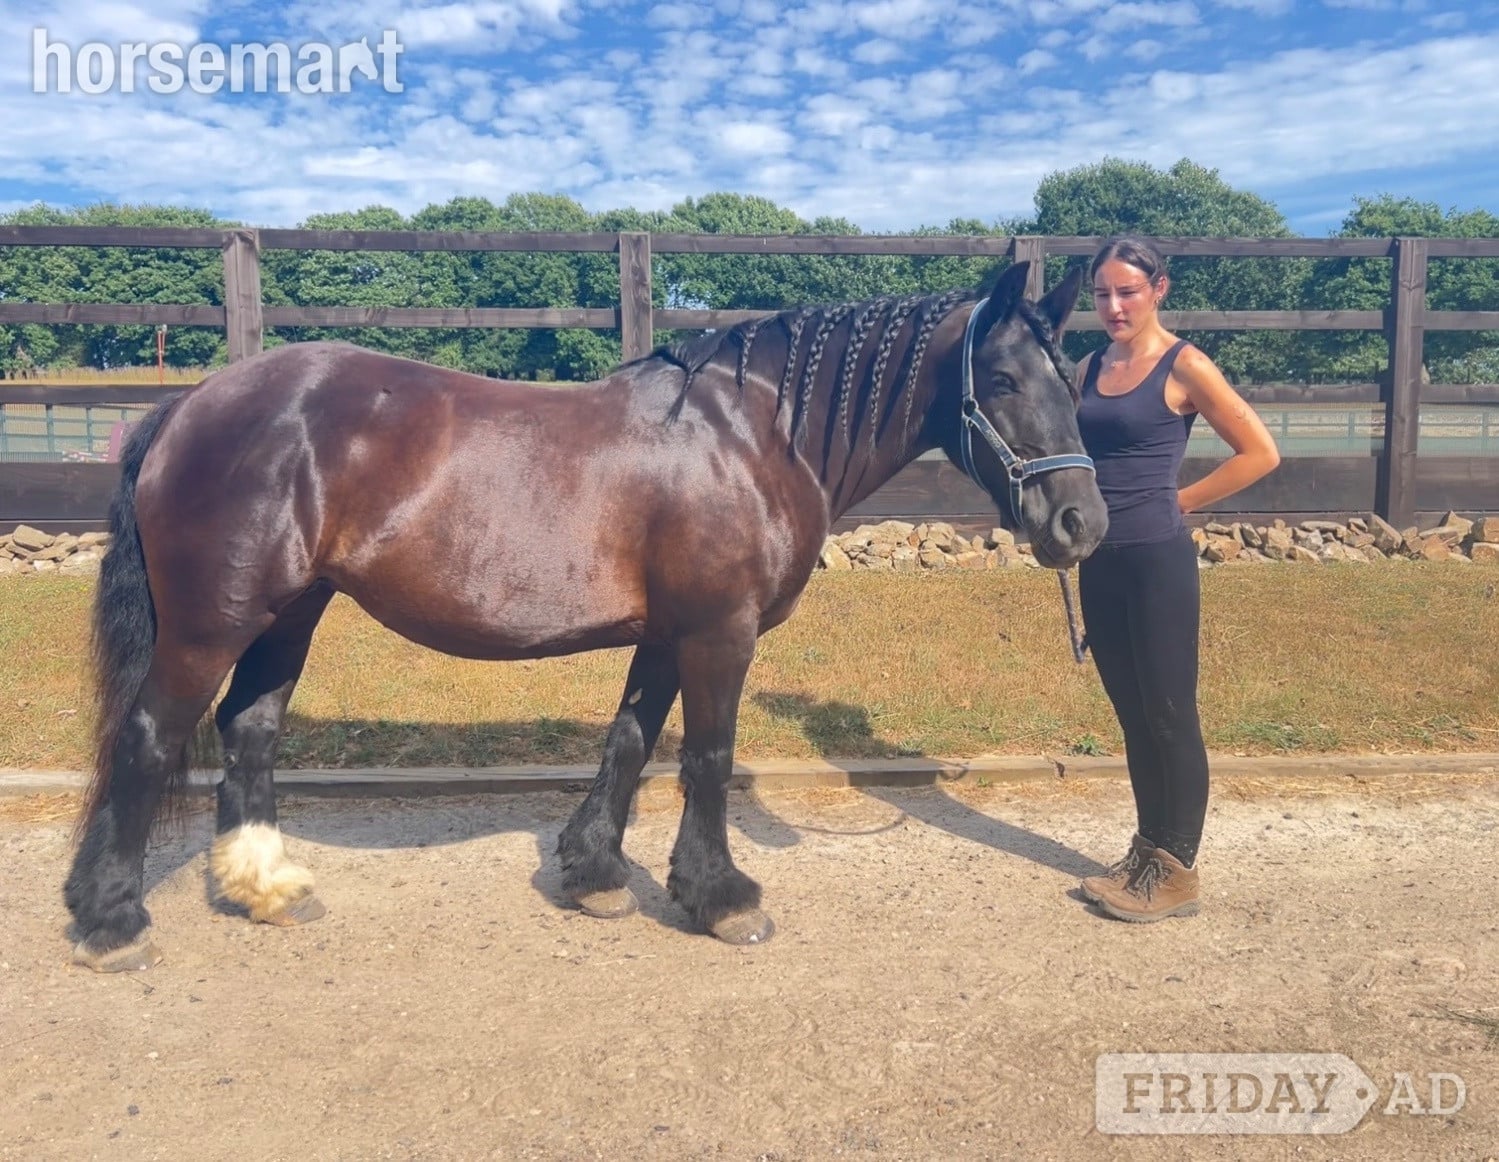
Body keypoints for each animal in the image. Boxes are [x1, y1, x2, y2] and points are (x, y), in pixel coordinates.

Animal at [62, 259, 1107, 971]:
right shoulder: (717, 632)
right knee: (150, 736)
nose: (1080, 523)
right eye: (1003, 381)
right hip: (216, 620)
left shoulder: (666, 635)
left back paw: (266, 887)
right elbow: (706, 758)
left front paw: (597, 875)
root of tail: (191, 403)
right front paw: (720, 896)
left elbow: (630, 743)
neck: (747, 438)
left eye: (1073, 380)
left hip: (290, 612)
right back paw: (111, 921)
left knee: (250, 729)